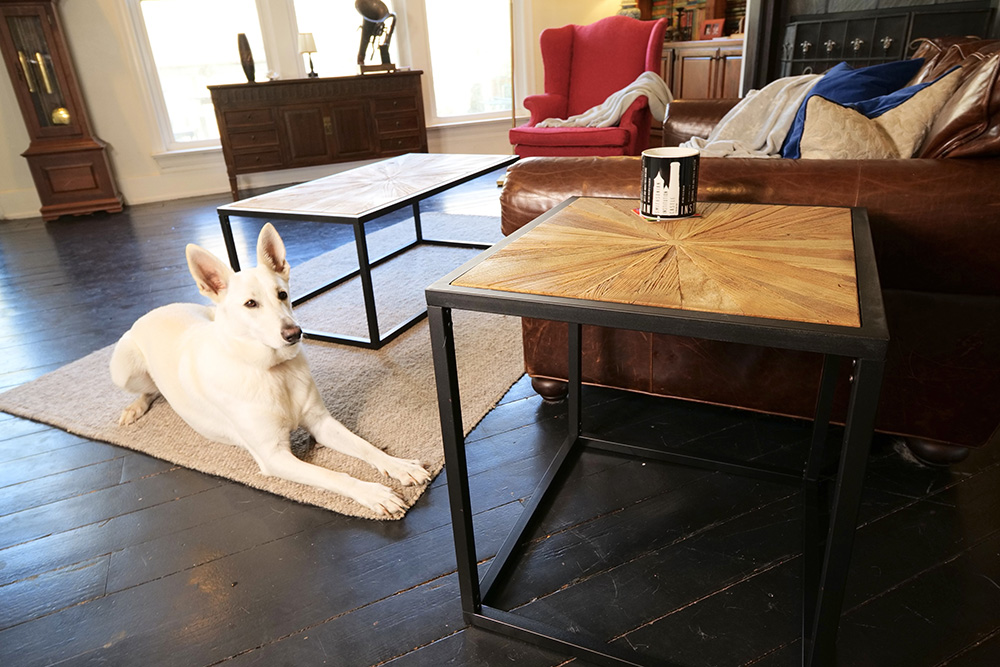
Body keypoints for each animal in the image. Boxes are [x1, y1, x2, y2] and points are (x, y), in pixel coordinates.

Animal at [109, 224, 430, 516]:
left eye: (282, 294)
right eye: (251, 304)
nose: (294, 333)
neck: (272, 370)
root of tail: (154, 310)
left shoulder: (321, 423)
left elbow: (366, 447)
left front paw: (399, 466)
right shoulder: (273, 455)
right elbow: (334, 475)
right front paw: (374, 493)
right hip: (123, 368)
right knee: (149, 390)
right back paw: (134, 408)